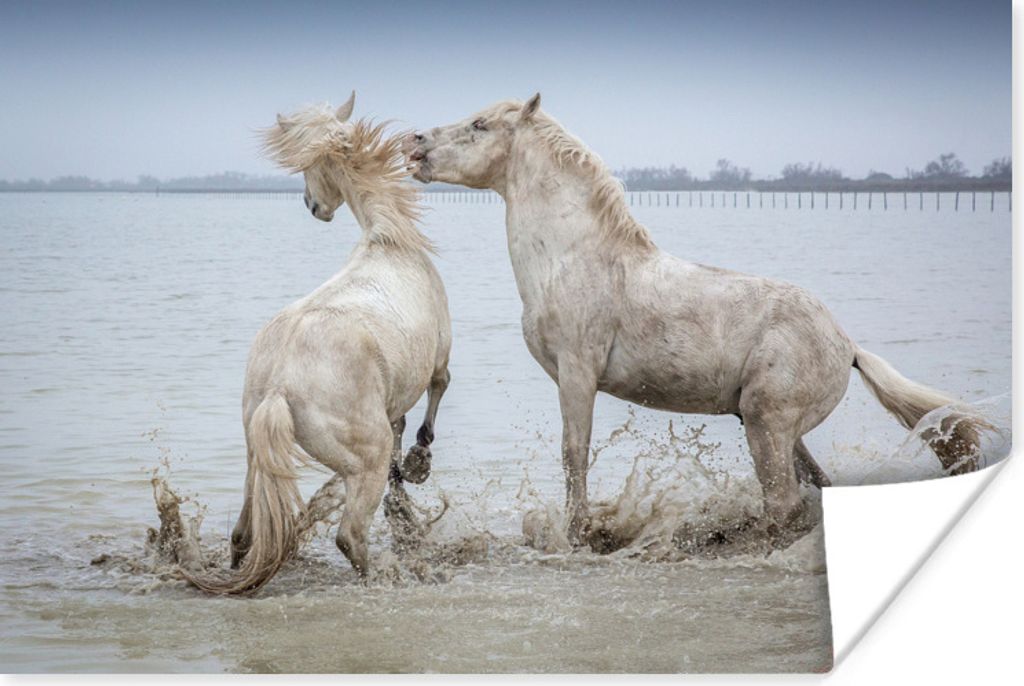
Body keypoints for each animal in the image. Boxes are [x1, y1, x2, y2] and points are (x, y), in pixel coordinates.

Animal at [186, 92, 452, 593]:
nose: (313, 206)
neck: (387, 239)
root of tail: (280, 387)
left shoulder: (393, 401)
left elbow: (402, 430)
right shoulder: (441, 357)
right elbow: (432, 404)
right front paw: (419, 465)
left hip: (256, 459)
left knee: (243, 533)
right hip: (362, 463)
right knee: (350, 535)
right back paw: (387, 575)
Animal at [405, 94, 986, 546]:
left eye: (480, 125)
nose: (414, 143)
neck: (575, 259)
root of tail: (847, 346)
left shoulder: (577, 375)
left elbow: (574, 456)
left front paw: (576, 537)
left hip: (767, 424)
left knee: (784, 503)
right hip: (772, 427)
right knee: (815, 490)